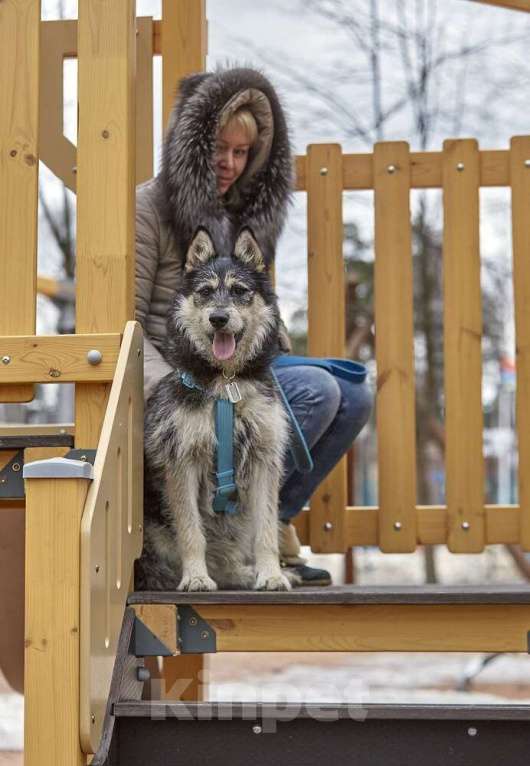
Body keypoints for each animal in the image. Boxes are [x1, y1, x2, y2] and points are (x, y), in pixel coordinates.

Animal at [134, 225, 290, 592]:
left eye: (239, 291)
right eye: (205, 292)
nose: (218, 318)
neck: (226, 384)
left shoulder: (264, 461)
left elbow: (267, 530)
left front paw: (271, 574)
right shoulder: (181, 462)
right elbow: (191, 532)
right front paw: (195, 576)